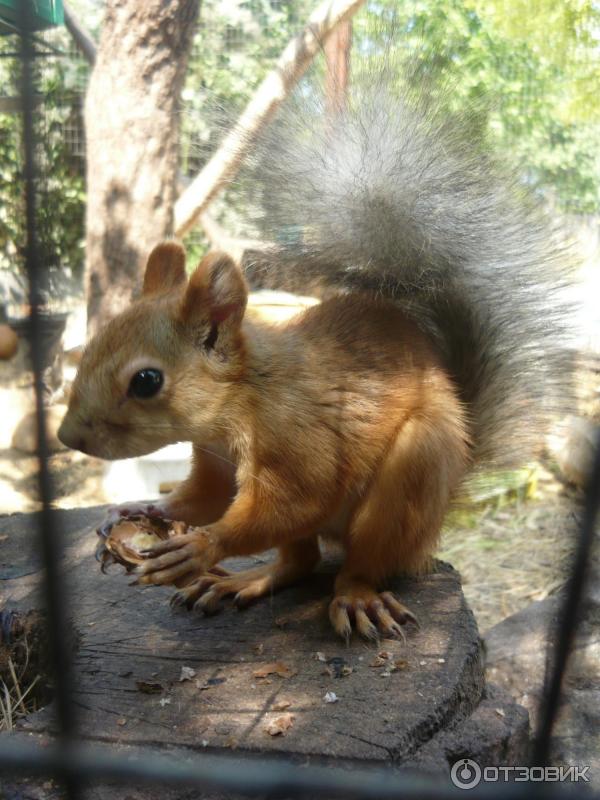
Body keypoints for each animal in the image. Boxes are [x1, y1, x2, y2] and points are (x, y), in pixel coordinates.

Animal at [57, 76, 576, 636]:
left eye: (147, 381)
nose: (67, 437)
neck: (243, 399)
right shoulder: (216, 460)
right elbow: (206, 498)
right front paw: (139, 508)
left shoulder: (297, 438)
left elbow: (296, 500)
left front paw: (201, 546)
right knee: (300, 561)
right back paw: (247, 580)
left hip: (412, 474)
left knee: (362, 561)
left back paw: (355, 596)